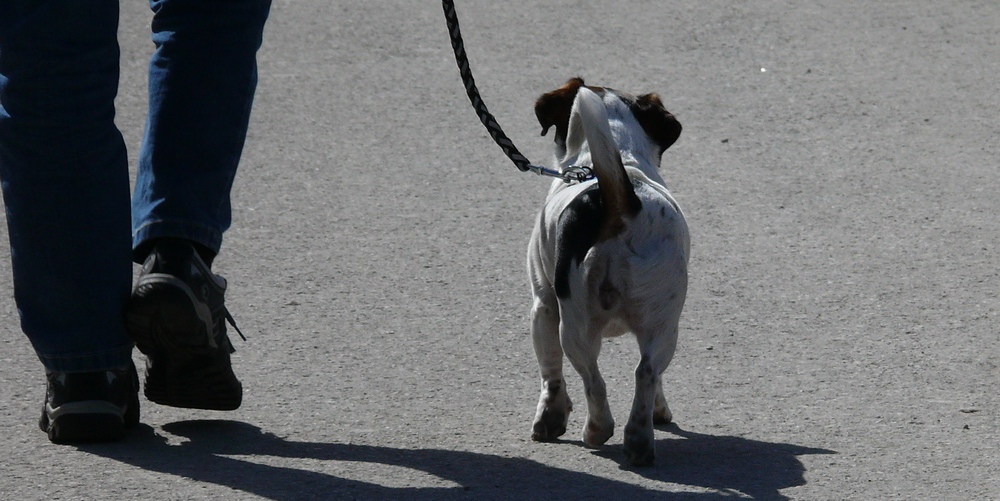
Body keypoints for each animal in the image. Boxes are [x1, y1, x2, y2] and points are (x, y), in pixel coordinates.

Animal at [532, 77, 688, 464]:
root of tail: (623, 205)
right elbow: (656, 380)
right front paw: (660, 413)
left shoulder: (543, 304)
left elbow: (550, 374)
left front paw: (549, 421)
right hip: (664, 324)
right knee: (646, 373)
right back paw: (639, 440)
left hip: (574, 326)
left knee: (593, 380)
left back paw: (597, 432)